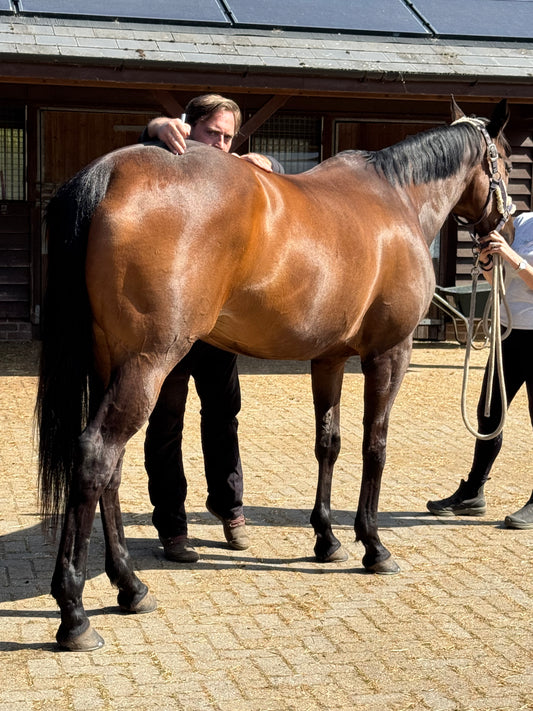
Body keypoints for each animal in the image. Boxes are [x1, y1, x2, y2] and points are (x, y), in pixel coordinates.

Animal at [36, 99, 514, 651]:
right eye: (504, 160)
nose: (505, 223)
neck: (399, 198)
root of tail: (111, 172)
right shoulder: (389, 354)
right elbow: (375, 445)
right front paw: (374, 546)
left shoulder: (329, 358)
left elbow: (329, 443)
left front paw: (326, 539)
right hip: (147, 364)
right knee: (96, 456)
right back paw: (75, 615)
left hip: (111, 364)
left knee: (109, 472)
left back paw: (131, 587)